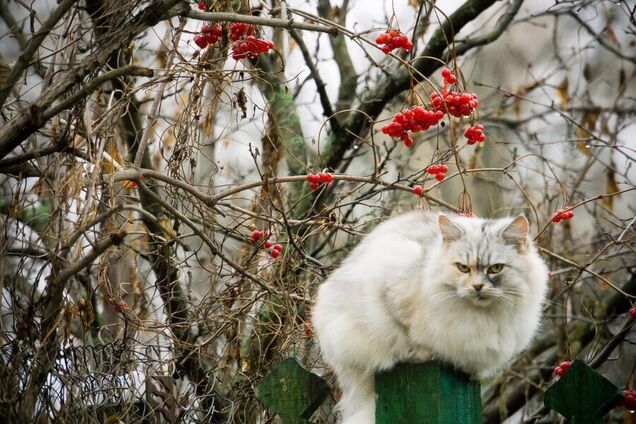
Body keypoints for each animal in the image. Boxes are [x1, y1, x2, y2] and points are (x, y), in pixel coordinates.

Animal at [312, 210, 548, 422]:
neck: (482, 315)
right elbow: (407, 337)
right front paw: (422, 353)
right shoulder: (391, 294)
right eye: (463, 268)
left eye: (496, 268)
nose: (477, 287)